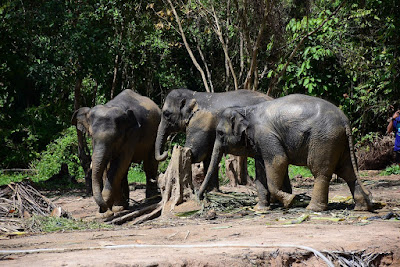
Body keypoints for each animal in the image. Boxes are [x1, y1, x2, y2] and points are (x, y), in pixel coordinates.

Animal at [72, 89, 161, 217]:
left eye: (116, 138)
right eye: (91, 136)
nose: (104, 210)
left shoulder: (132, 134)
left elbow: (118, 165)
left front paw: (108, 210)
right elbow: (109, 168)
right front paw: (114, 209)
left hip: (156, 134)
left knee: (149, 164)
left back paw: (151, 200)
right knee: (125, 171)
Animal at [154, 89, 290, 194]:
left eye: (166, 114)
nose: (166, 152)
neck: (193, 94)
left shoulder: (200, 124)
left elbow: (196, 153)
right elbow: (209, 157)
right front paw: (213, 191)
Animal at [198, 95, 374, 213]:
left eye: (220, 133)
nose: (201, 198)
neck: (246, 110)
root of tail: (345, 121)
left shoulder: (265, 135)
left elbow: (279, 161)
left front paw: (291, 200)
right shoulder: (260, 143)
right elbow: (261, 173)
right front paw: (260, 208)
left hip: (324, 140)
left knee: (321, 172)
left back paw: (312, 209)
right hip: (340, 142)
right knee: (348, 171)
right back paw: (361, 208)